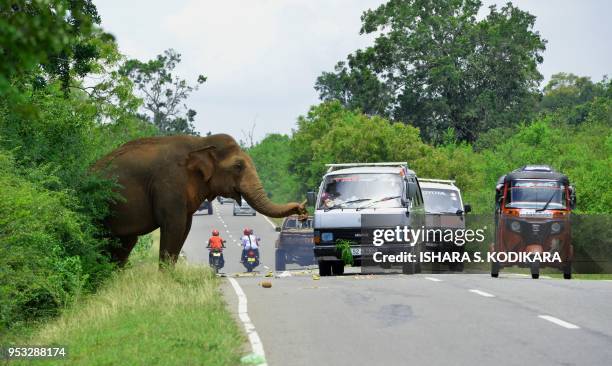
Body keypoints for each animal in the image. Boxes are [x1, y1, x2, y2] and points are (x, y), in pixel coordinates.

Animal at [93, 133, 306, 264]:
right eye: (238, 166)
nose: (302, 210)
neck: (201, 143)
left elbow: (184, 228)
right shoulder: (169, 184)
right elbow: (174, 226)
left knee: (125, 243)